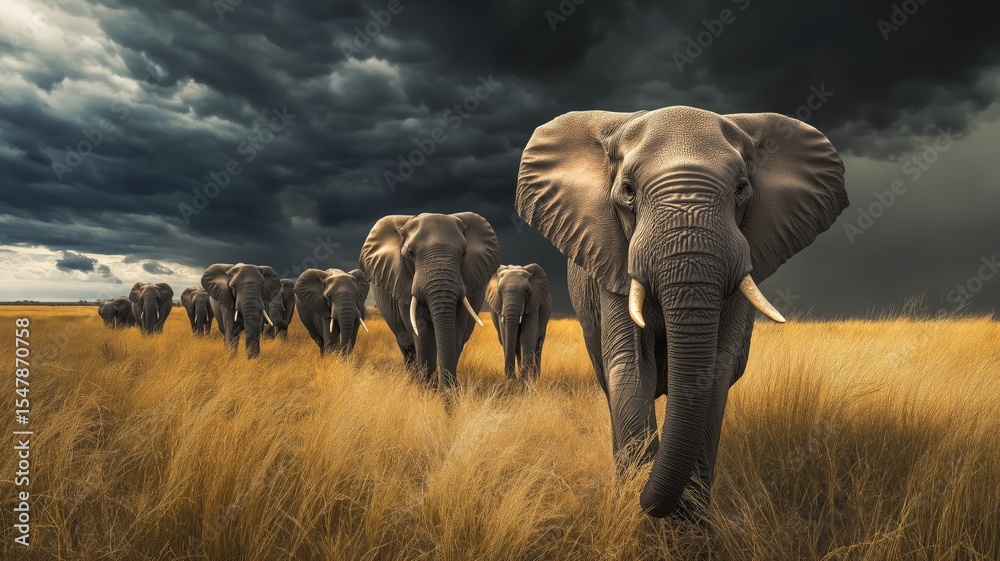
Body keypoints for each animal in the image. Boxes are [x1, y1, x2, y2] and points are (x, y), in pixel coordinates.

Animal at [360, 213, 500, 391]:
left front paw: (448, 391)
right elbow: (422, 335)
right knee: (407, 346)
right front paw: (428, 392)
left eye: (463, 254)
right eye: (410, 253)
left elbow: (455, 333)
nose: (448, 393)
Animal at [515, 106, 848, 519]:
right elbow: (631, 367)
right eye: (628, 191)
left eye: (741, 188)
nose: (644, 498)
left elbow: (714, 374)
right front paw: (639, 505)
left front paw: (689, 519)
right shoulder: (612, 261)